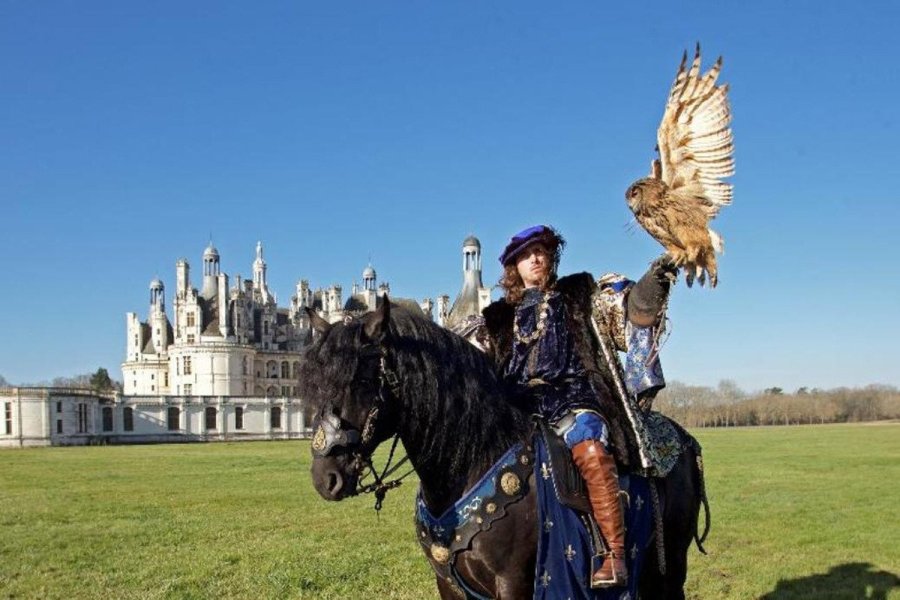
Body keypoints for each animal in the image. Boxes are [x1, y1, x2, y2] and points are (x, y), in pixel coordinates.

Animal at [302, 302, 712, 600]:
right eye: (316, 383)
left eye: (361, 380)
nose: (325, 478)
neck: (473, 457)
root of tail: (685, 440)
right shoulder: (448, 584)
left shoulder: (514, 582)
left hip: (672, 562)